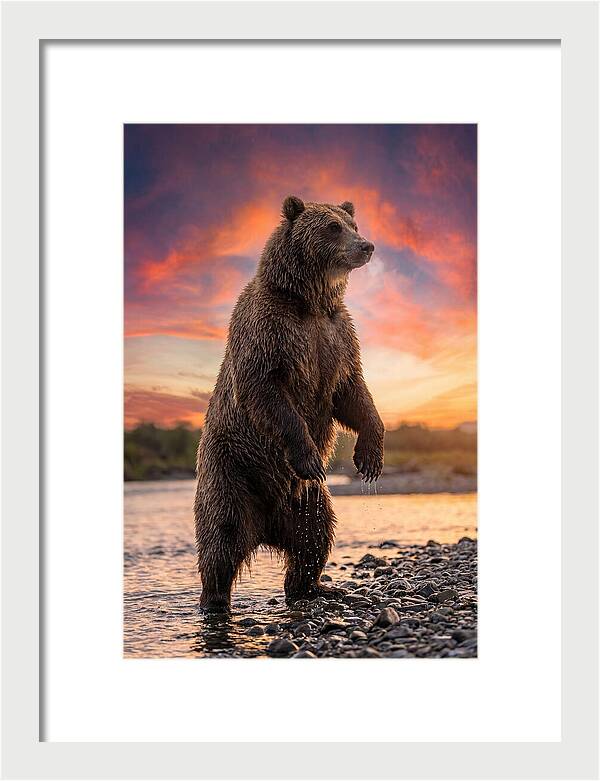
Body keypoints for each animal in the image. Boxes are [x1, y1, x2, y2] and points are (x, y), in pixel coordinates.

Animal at [194, 196, 384, 612]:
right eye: (332, 227)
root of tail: (265, 527)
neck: (310, 301)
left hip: (306, 500)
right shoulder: (270, 331)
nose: (366, 246)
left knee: (315, 535)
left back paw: (314, 586)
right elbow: (266, 391)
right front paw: (310, 456)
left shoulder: (336, 337)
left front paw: (370, 458)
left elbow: (353, 393)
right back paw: (214, 600)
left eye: (353, 223)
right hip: (231, 471)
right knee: (221, 538)